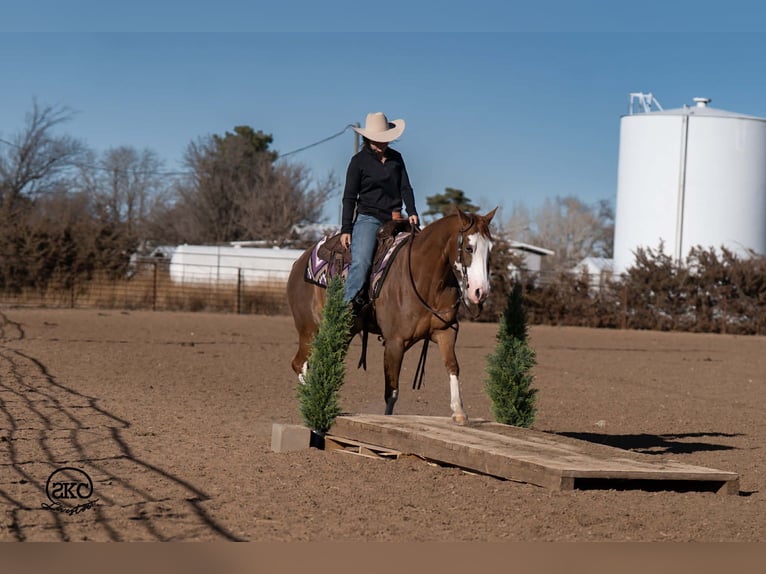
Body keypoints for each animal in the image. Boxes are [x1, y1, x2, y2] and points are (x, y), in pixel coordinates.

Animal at [286, 207, 497, 424]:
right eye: (469, 248)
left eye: (490, 248)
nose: (481, 292)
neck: (425, 277)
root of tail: (299, 262)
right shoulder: (395, 342)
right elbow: (392, 392)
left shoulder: (445, 332)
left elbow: (452, 366)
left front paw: (459, 411)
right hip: (309, 329)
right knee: (299, 363)